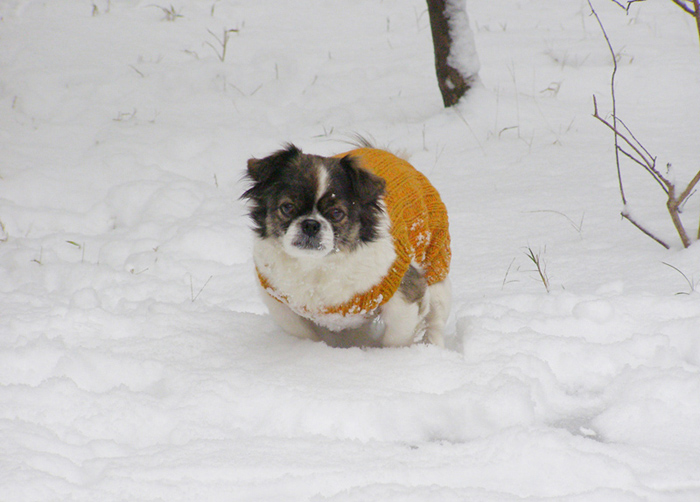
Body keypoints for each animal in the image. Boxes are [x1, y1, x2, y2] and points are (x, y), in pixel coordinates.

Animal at [243, 144, 452, 350]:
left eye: (336, 213)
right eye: (287, 207)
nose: (311, 224)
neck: (317, 266)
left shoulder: (405, 293)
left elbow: (397, 337)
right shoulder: (278, 301)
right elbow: (301, 331)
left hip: (436, 273)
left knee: (435, 321)